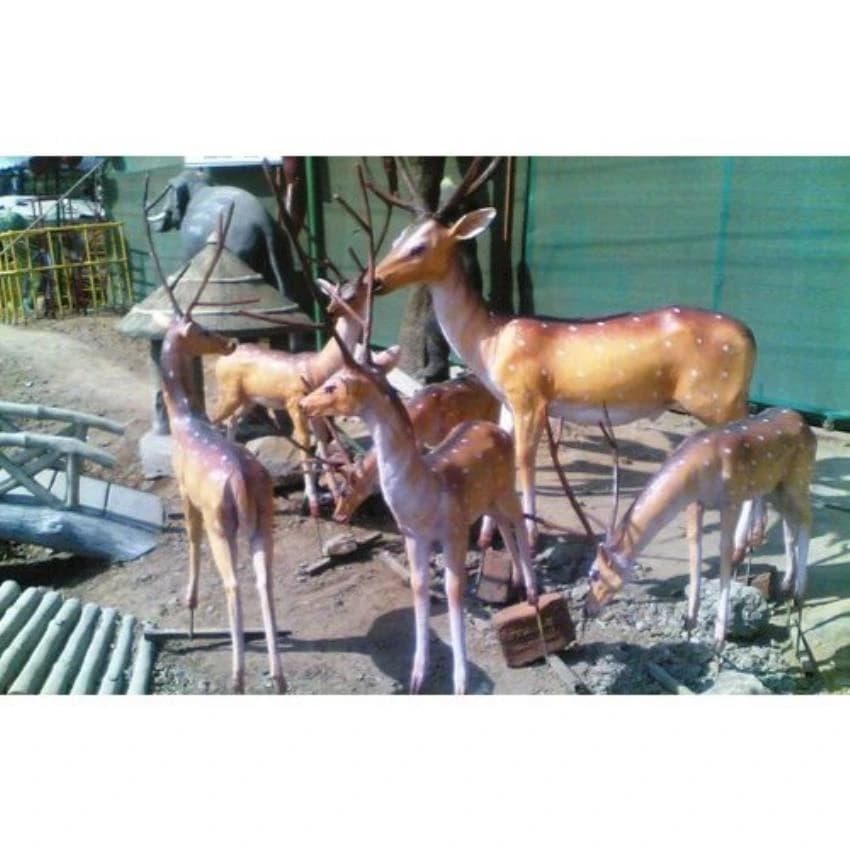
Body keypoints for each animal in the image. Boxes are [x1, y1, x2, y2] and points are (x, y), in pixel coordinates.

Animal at [142, 179, 286, 694]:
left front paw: (186, 618)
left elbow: (189, 542)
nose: (227, 341)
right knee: (264, 579)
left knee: (234, 582)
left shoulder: (185, 493)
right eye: (201, 327)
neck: (187, 422)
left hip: (224, 519)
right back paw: (277, 675)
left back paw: (239, 675)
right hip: (265, 516)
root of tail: (242, 480)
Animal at [367, 158, 762, 556]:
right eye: (397, 240)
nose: (374, 281)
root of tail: (751, 337)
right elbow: (505, 450)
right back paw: (753, 538)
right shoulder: (508, 400)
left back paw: (742, 543)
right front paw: (487, 536)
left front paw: (531, 536)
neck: (490, 342)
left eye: (420, 247)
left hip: (716, 397)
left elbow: (524, 460)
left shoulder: (530, 395)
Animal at [583, 407, 816, 651]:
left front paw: (718, 639)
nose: (586, 609)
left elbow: (725, 552)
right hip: (775, 486)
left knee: (807, 518)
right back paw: (786, 585)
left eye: (594, 574)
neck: (698, 472)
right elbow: (694, 548)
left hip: (800, 476)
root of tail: (804, 423)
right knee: (790, 521)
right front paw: (689, 622)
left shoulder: (731, 499)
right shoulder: (695, 503)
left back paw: (799, 592)